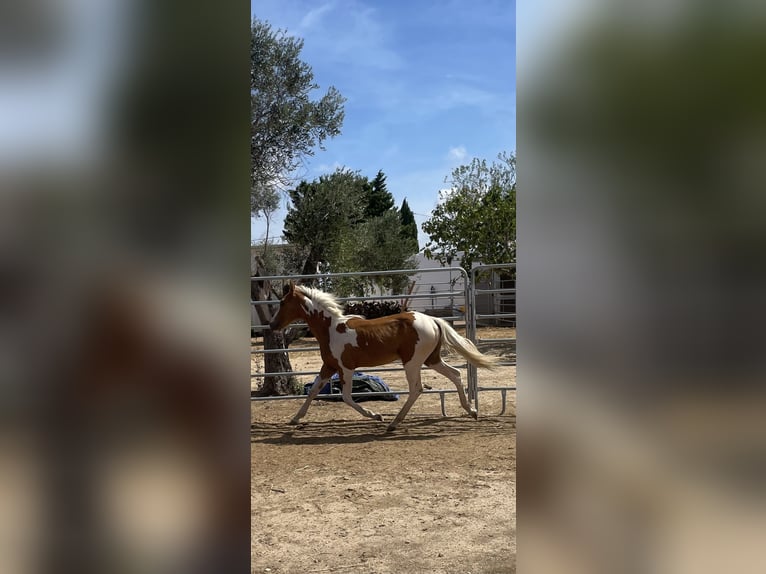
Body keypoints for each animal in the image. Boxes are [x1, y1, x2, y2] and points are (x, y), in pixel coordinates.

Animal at [268, 282, 498, 431]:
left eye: (282, 302)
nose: (272, 325)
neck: (331, 329)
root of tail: (433, 321)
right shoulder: (329, 366)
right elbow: (314, 390)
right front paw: (295, 419)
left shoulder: (346, 367)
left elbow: (347, 397)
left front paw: (375, 415)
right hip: (431, 359)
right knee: (455, 374)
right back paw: (472, 411)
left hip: (412, 362)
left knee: (417, 389)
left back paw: (394, 423)